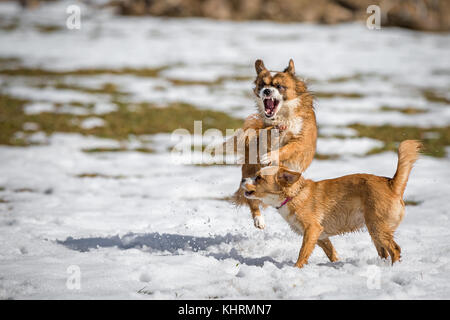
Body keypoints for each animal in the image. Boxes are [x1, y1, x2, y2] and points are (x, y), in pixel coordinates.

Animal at [230, 59, 318, 230]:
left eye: (279, 86)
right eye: (262, 85)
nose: (267, 91)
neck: (281, 118)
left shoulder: (301, 140)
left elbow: (289, 147)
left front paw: (270, 156)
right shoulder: (266, 132)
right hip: (251, 171)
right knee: (251, 198)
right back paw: (259, 219)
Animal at [241, 140, 420, 268]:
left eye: (258, 178)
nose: (242, 180)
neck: (294, 194)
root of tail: (392, 184)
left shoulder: (312, 229)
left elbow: (302, 253)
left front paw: (295, 269)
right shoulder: (321, 236)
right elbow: (331, 253)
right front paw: (336, 263)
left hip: (378, 228)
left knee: (395, 250)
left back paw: (394, 269)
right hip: (375, 231)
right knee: (384, 252)